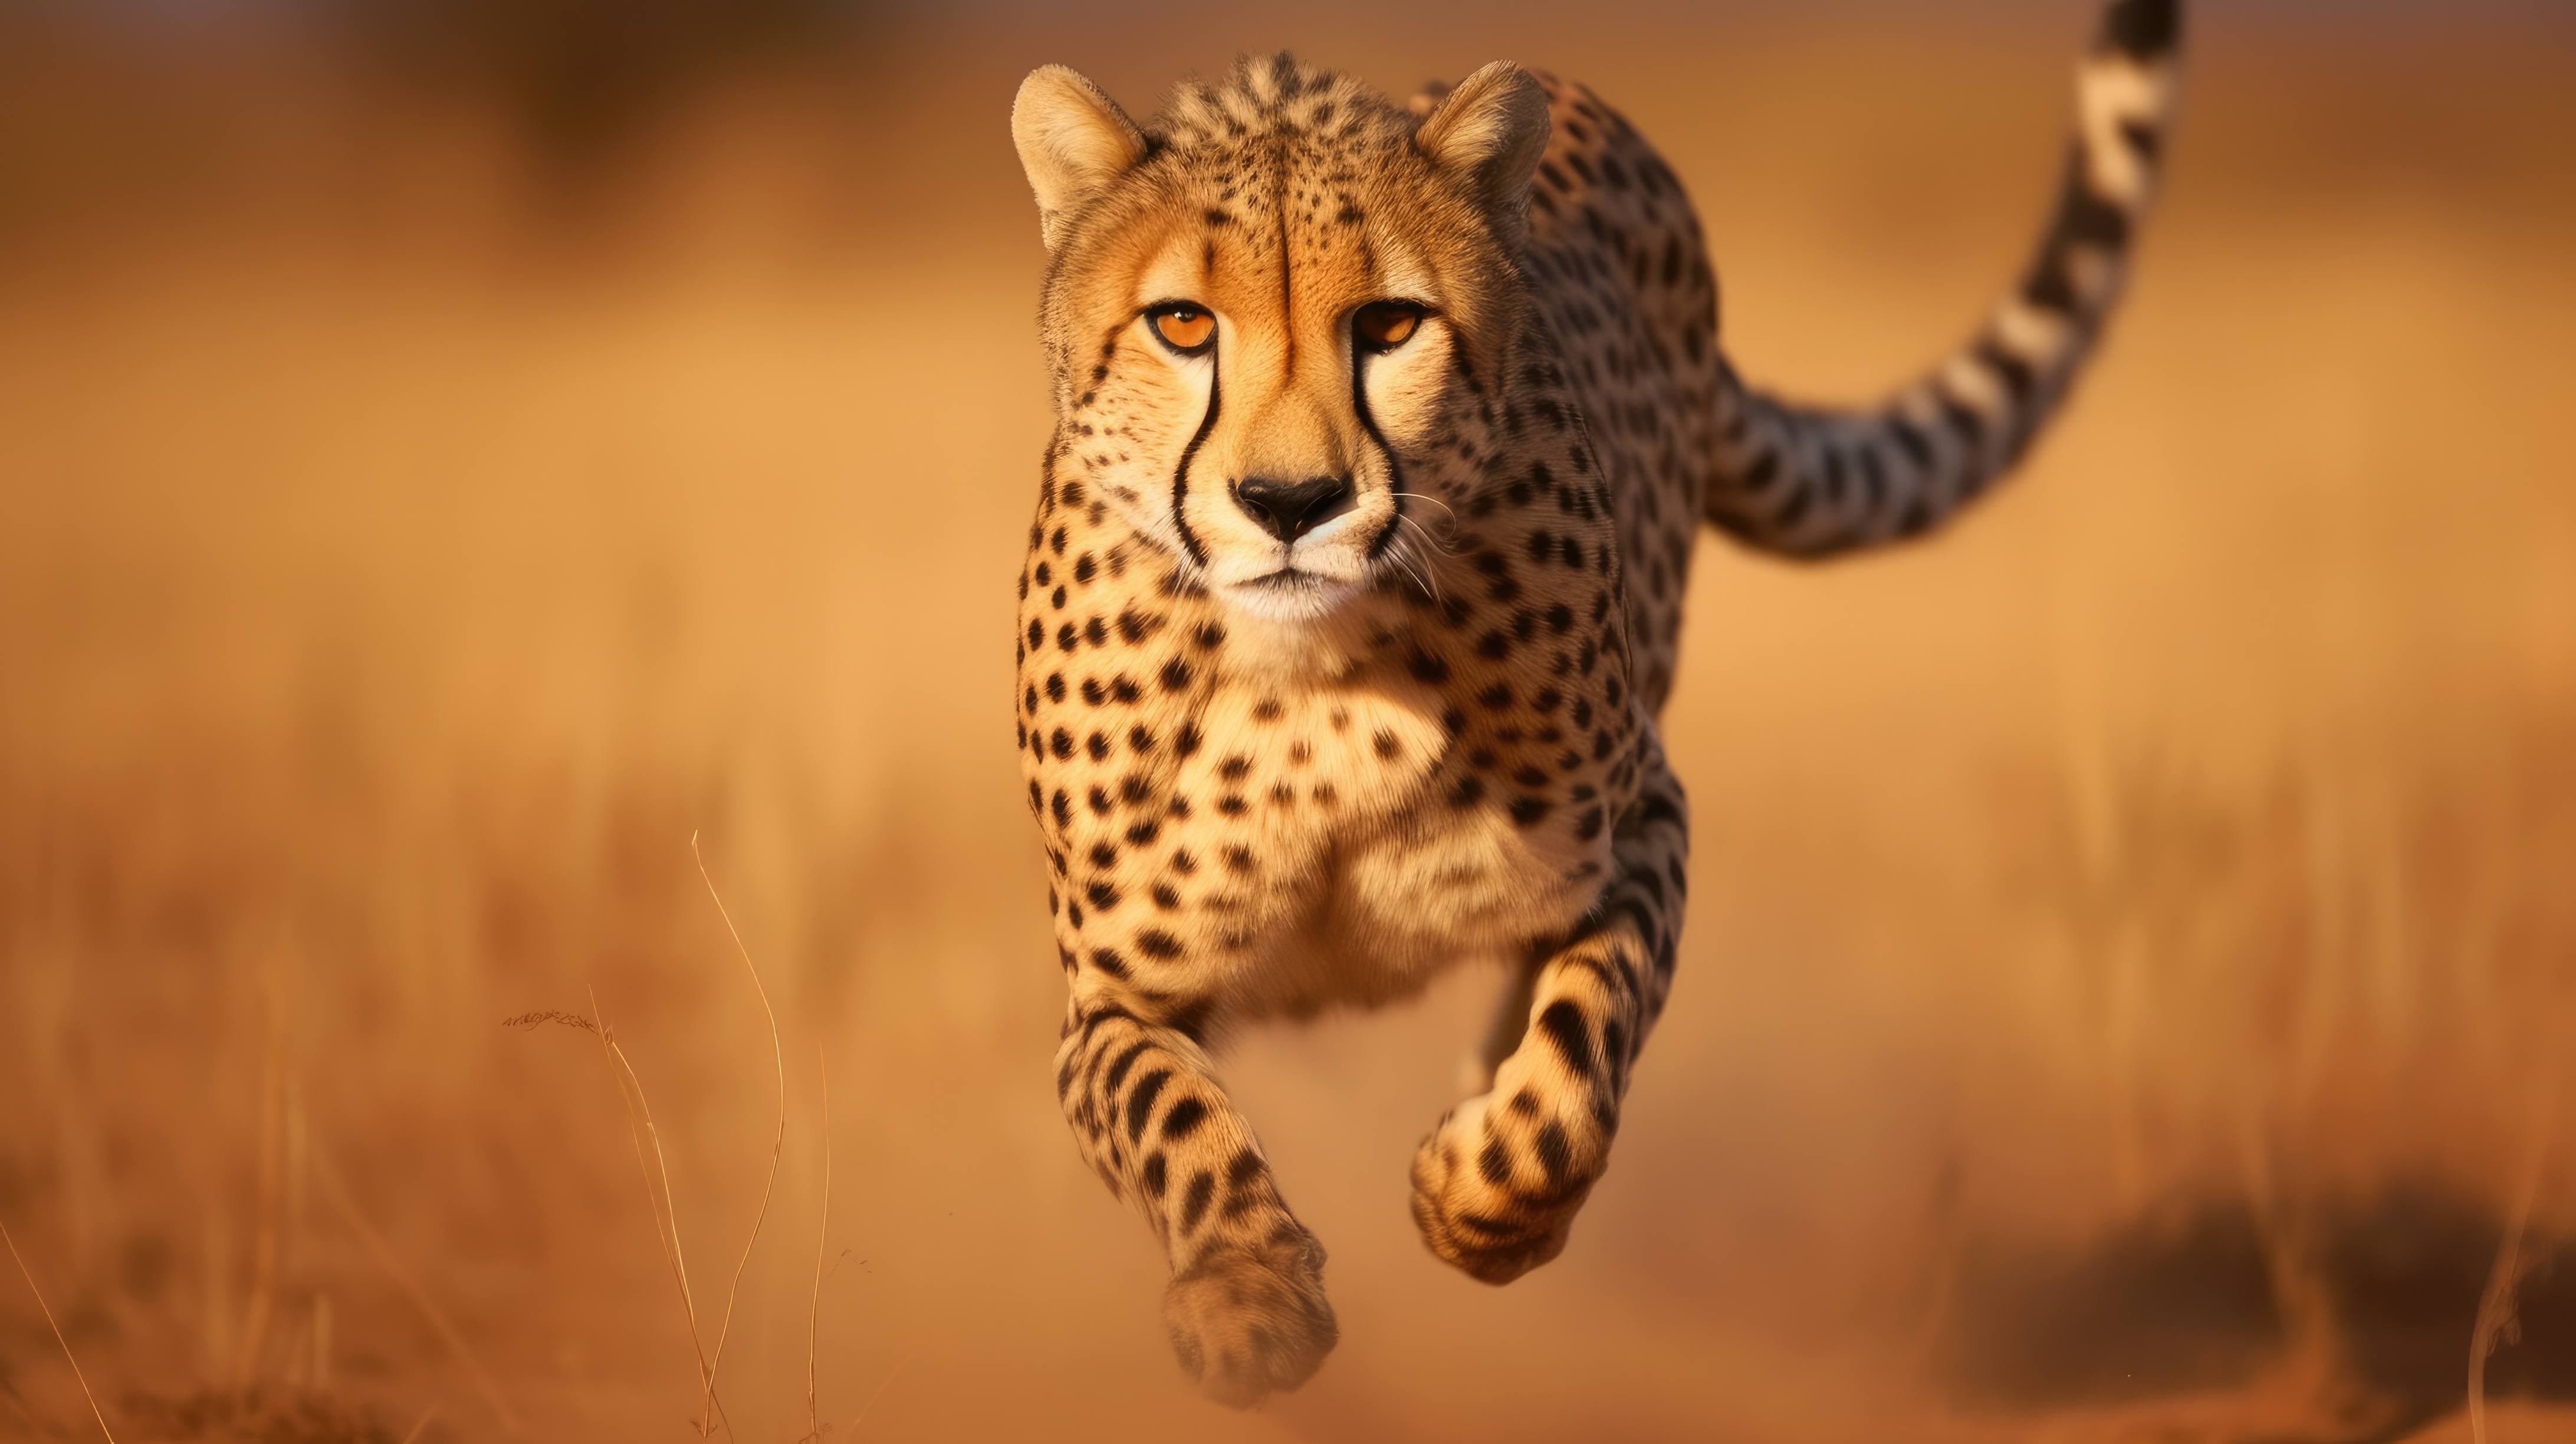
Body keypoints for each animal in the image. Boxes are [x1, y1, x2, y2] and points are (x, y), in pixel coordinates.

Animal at [1007, 0, 2182, 1407]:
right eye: (1183, 325)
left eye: (1389, 326)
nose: (1290, 504)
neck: (1315, 670)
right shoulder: (1113, 993)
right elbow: (1174, 1116)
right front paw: (1246, 1296)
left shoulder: (1638, 827)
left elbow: (1573, 1059)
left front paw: (1477, 1194)